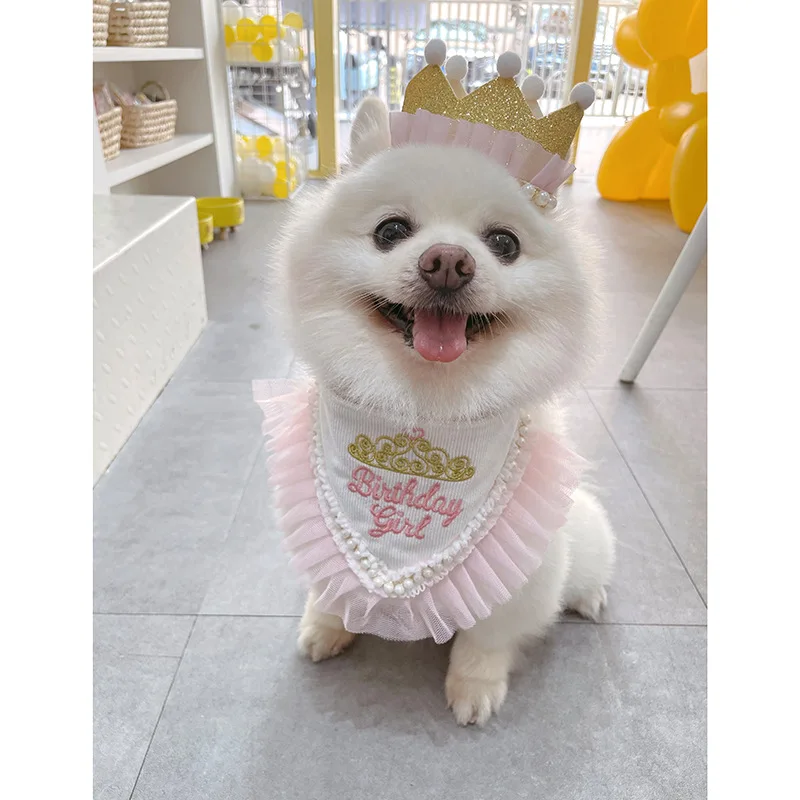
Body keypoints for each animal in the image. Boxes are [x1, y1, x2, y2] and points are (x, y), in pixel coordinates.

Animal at [270, 97, 615, 726]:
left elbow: (485, 638)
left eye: (504, 243)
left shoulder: (518, 573)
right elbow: (329, 586)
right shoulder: (314, 520)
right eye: (390, 231)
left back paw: (589, 597)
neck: (422, 405)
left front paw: (474, 687)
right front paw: (325, 627)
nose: (449, 261)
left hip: (582, 530)